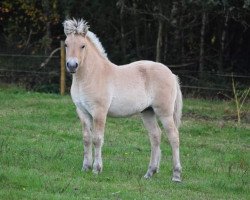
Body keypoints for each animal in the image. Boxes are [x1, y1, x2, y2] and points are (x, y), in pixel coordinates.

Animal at [63, 19, 183, 183]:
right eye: (66, 44)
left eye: (83, 45)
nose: (72, 65)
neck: (91, 75)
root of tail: (171, 74)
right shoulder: (82, 111)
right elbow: (87, 139)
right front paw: (85, 167)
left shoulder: (99, 112)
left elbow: (97, 139)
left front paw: (96, 169)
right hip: (148, 112)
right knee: (155, 136)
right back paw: (149, 173)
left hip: (164, 113)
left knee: (174, 137)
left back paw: (176, 175)